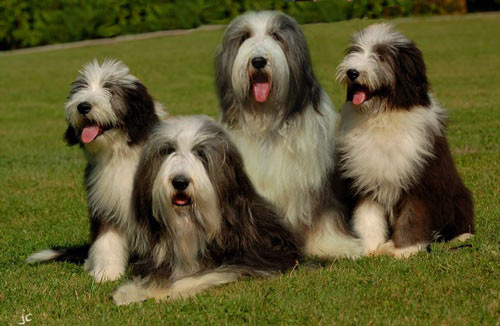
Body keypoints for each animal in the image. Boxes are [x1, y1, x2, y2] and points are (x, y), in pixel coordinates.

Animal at [26, 59, 164, 280]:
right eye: (80, 89)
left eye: (110, 89)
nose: (83, 106)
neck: (119, 154)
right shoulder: (104, 201)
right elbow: (106, 239)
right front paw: (106, 273)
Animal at [113, 116, 300, 304]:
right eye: (167, 150)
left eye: (200, 153)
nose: (180, 181)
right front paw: (134, 291)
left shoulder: (260, 257)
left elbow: (206, 273)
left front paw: (160, 291)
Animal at [215, 10, 364, 260]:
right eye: (244, 37)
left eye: (276, 36)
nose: (258, 61)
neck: (267, 122)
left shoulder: (316, 180)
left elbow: (324, 214)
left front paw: (337, 245)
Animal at [336, 23, 472, 258]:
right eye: (355, 50)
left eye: (381, 56)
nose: (352, 72)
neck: (382, 115)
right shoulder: (365, 176)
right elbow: (368, 214)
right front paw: (370, 248)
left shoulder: (418, 178)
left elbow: (412, 215)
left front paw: (405, 250)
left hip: (457, 195)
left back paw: (462, 236)